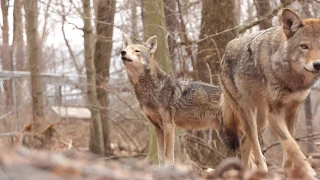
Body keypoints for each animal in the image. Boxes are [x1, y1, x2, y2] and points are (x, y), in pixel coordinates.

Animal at [121, 35, 221, 166]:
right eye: (126, 49)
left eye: (137, 51)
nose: (122, 52)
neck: (153, 88)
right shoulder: (158, 128)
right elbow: (160, 157)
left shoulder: (168, 126)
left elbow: (168, 156)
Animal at [219, 8, 320, 179]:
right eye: (304, 46)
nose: (318, 64)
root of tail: (226, 49)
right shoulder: (275, 114)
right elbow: (292, 145)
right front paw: (308, 171)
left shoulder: (293, 111)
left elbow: (289, 149)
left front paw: (290, 173)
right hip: (250, 117)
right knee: (255, 150)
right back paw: (261, 172)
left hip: (262, 122)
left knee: (245, 144)